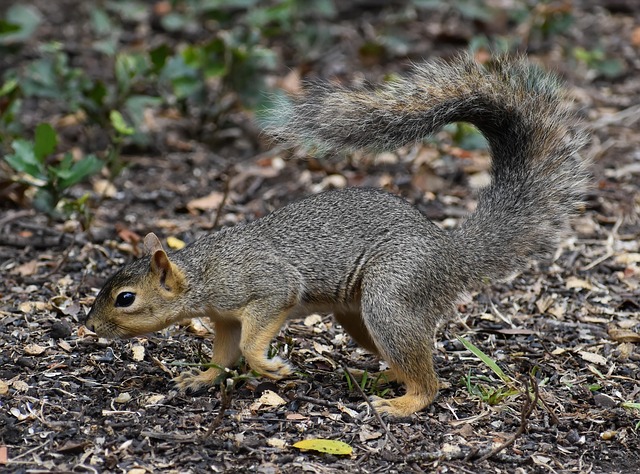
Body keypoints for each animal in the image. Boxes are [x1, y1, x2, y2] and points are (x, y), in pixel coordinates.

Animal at [84, 54, 588, 417]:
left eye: (125, 298)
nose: (87, 325)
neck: (201, 274)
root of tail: (451, 253)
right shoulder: (224, 317)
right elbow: (225, 352)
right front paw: (202, 378)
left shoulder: (267, 287)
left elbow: (251, 340)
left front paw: (271, 367)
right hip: (359, 316)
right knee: (404, 358)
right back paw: (389, 378)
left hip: (393, 295)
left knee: (430, 381)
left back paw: (401, 403)